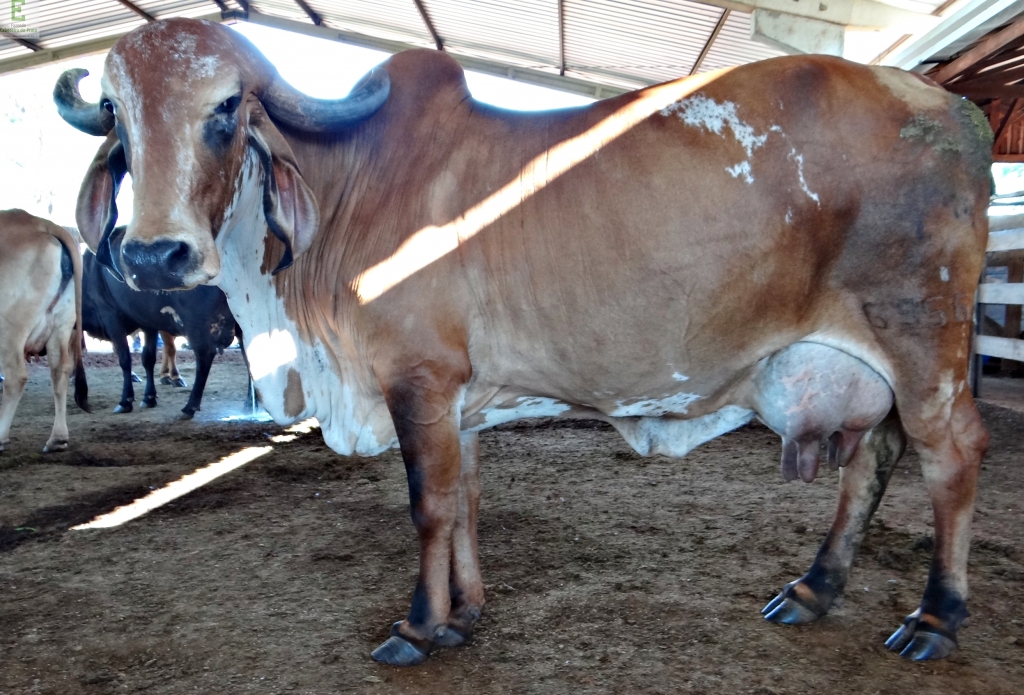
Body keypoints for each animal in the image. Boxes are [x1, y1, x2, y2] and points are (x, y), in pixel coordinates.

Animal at [0, 209, 89, 454]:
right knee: (61, 370)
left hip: (9, 328)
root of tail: (41, 224)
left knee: (15, 377)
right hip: (62, 323)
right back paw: (57, 438)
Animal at [56, 19, 991, 667]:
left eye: (224, 109)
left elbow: (428, 506)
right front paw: (465, 610)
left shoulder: (419, 381)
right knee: (873, 459)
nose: (154, 255)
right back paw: (813, 588)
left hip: (923, 338)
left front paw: (419, 625)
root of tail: (950, 105)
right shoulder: (460, 399)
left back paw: (936, 617)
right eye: (117, 115)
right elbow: (465, 497)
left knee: (951, 457)